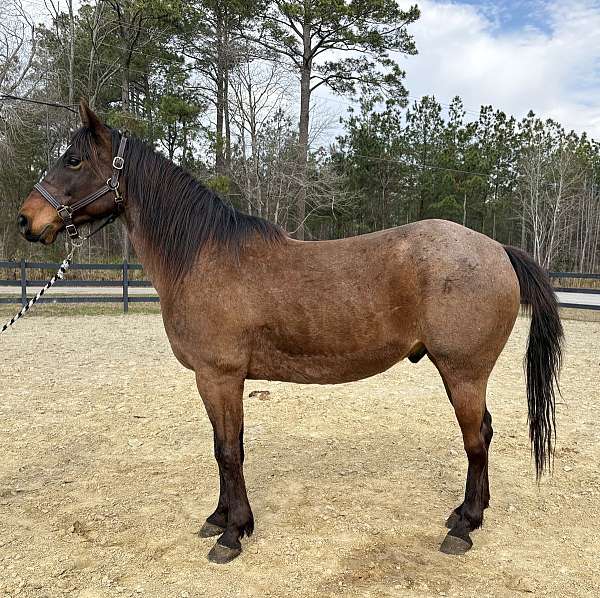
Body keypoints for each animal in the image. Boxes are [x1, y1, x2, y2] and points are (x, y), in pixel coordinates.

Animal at [17, 103, 564, 568]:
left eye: (72, 159)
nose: (26, 220)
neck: (203, 256)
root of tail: (497, 249)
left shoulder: (219, 376)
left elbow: (228, 450)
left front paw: (232, 534)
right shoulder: (220, 381)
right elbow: (225, 446)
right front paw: (220, 517)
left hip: (463, 372)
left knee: (477, 439)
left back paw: (464, 527)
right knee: (483, 435)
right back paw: (467, 514)